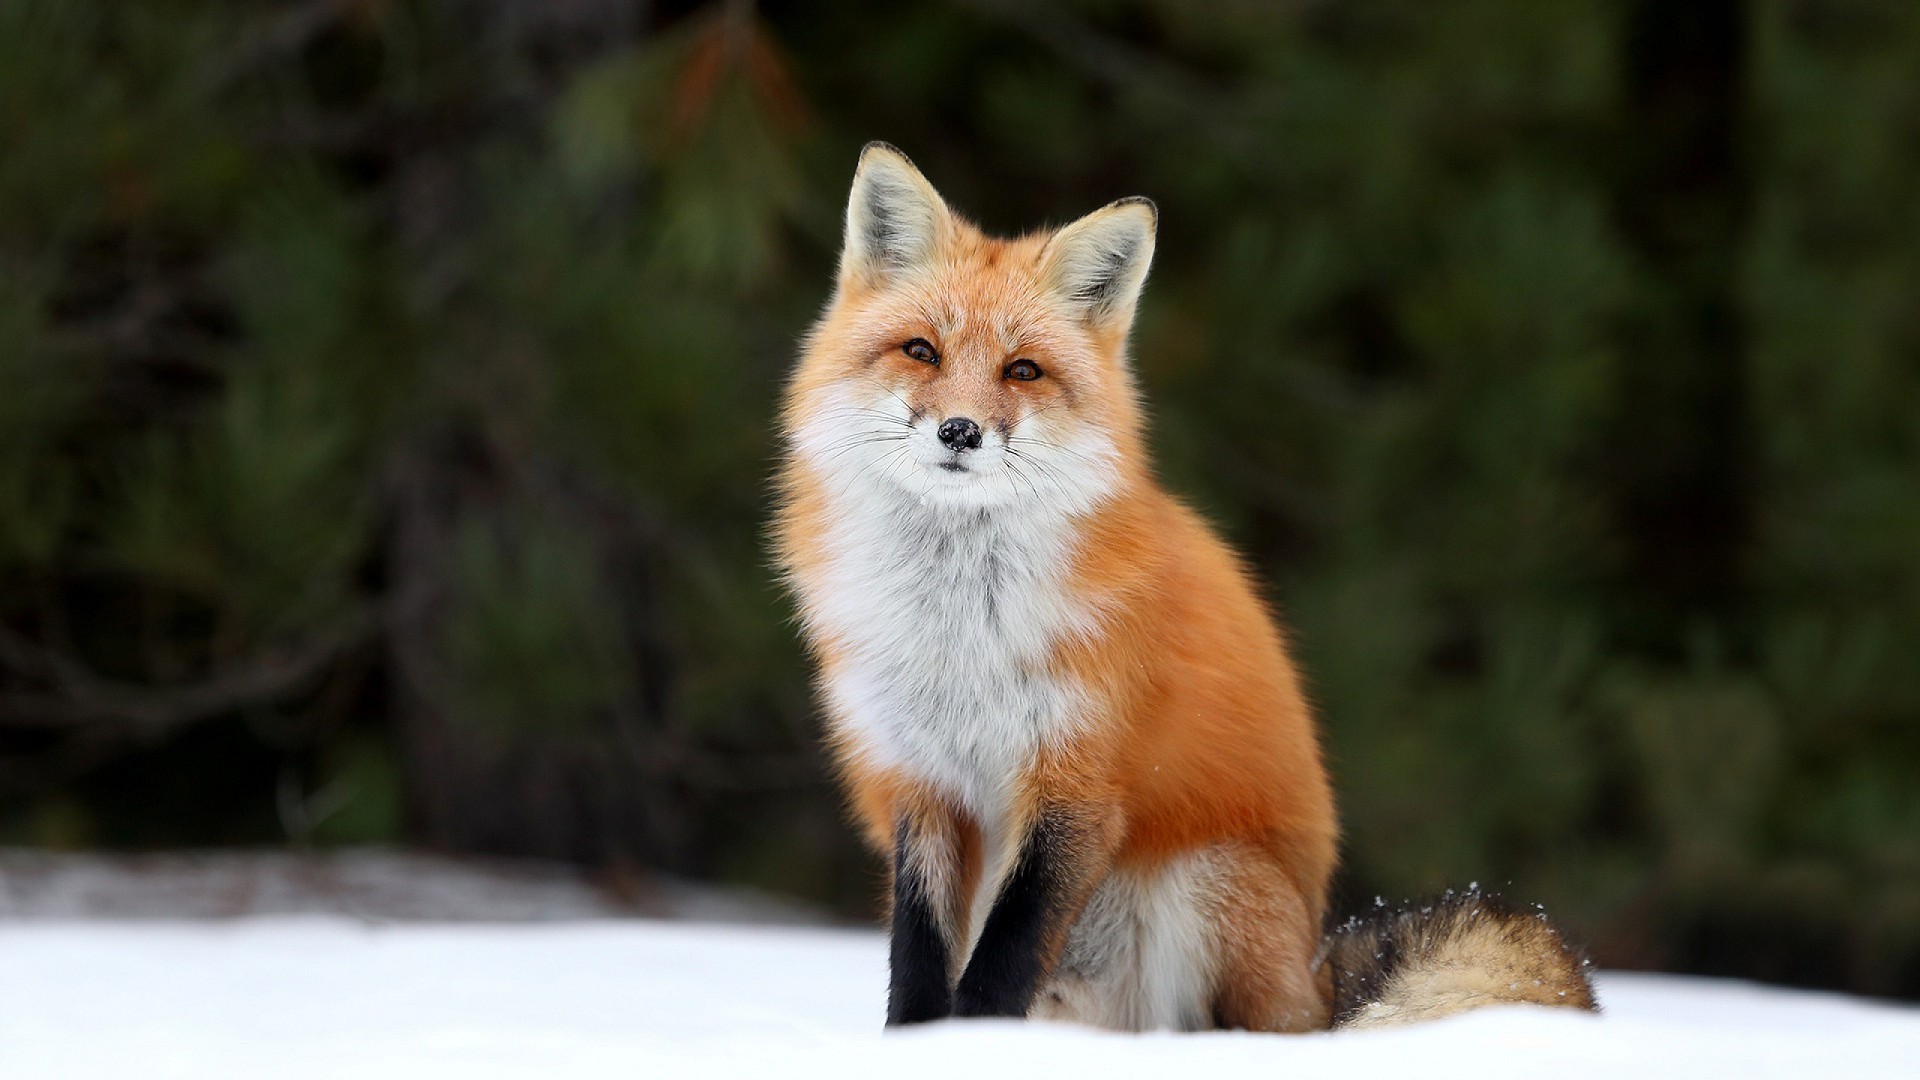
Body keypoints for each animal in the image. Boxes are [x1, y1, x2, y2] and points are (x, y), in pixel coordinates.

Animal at [771, 141, 1597, 1022]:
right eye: (921, 350)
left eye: (1022, 370)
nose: (959, 431)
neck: (959, 633)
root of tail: (1317, 971)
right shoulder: (920, 783)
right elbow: (920, 960)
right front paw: (923, 1042)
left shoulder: (1076, 783)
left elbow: (1004, 958)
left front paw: (980, 1042)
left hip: (1205, 883)